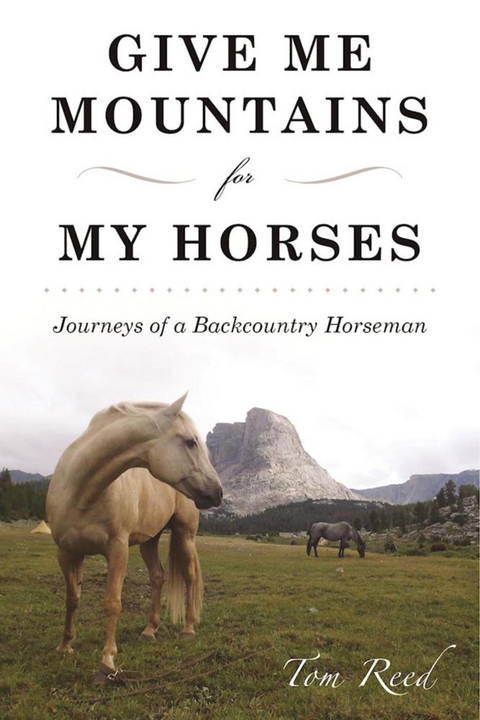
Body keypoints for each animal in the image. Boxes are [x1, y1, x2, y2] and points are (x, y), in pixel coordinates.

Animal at [46, 393, 223, 677]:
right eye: (190, 442)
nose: (217, 492)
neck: (81, 492)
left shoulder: (117, 549)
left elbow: (112, 603)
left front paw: (107, 662)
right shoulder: (67, 552)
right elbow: (72, 599)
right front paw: (65, 646)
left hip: (184, 534)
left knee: (189, 576)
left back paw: (188, 629)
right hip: (149, 541)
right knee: (158, 577)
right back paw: (150, 630)